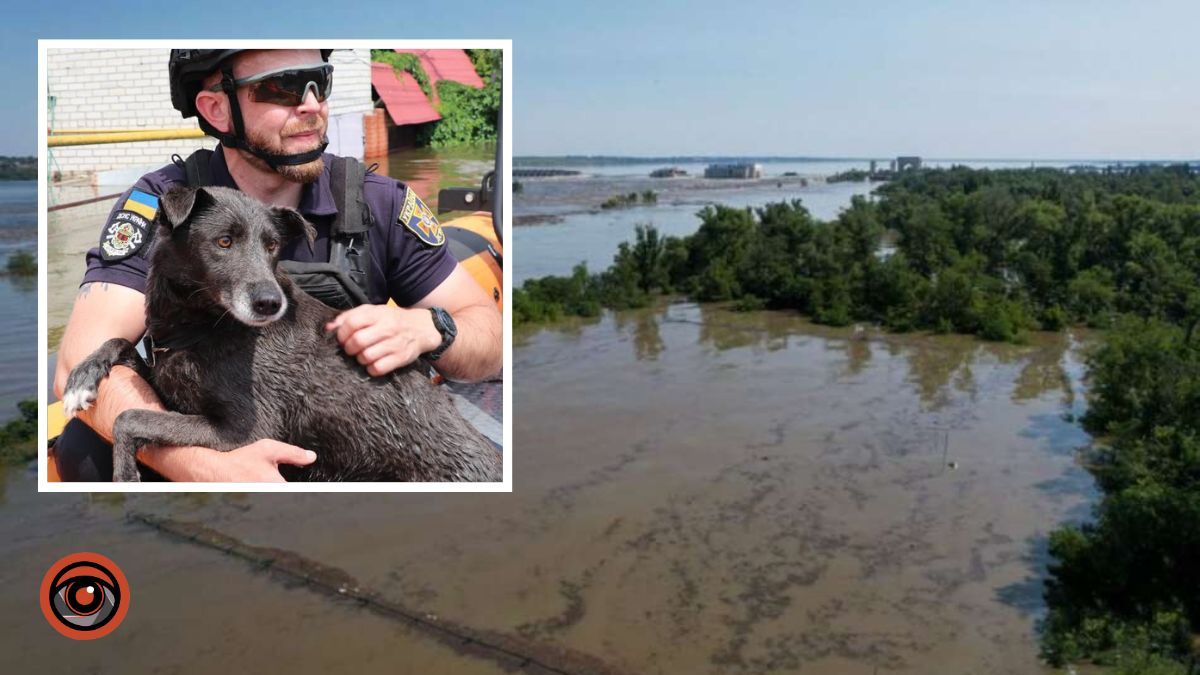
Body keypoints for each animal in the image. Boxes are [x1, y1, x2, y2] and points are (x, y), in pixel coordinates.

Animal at [62, 183, 501, 480]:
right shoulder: (164, 379)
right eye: (224, 241)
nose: (270, 304)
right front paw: (81, 380)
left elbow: (129, 417)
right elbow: (118, 343)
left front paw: (125, 474)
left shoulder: (241, 432)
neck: (203, 327)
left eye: (273, 246)